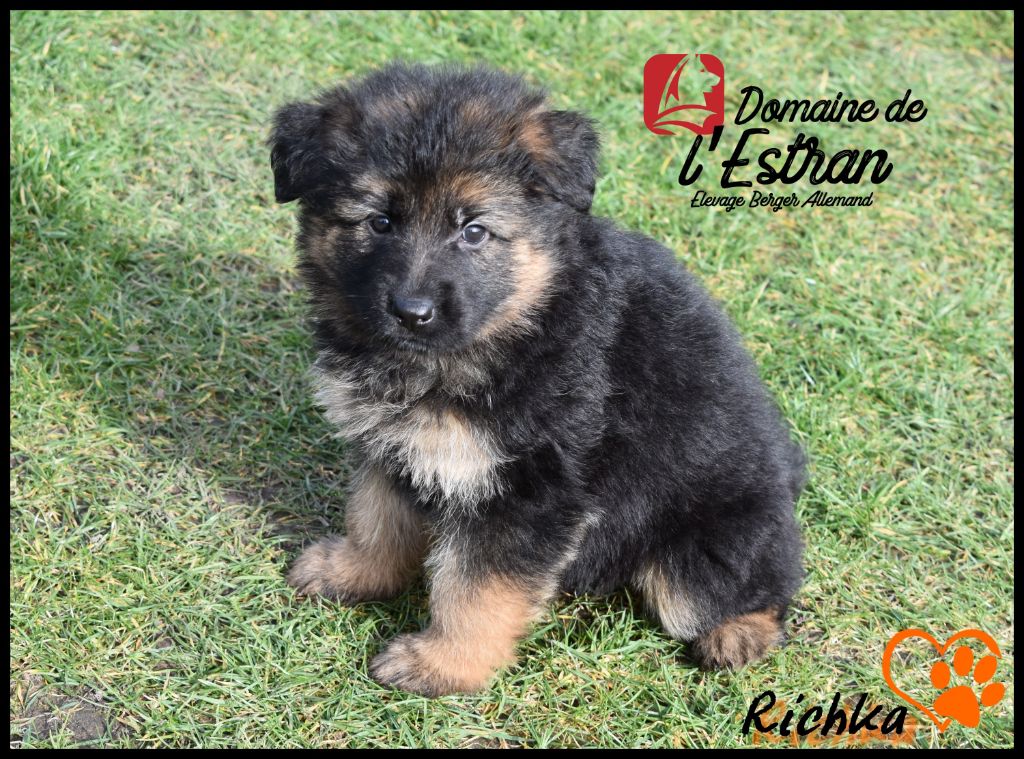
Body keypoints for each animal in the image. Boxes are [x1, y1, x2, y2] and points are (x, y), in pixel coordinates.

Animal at [269, 63, 805, 697]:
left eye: (474, 231)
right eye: (379, 221)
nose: (410, 312)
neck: (521, 319)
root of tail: (787, 477)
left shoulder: (527, 489)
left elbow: (474, 590)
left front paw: (445, 665)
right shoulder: (394, 446)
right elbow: (376, 519)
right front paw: (351, 572)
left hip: (698, 558)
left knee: (762, 586)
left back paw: (738, 633)